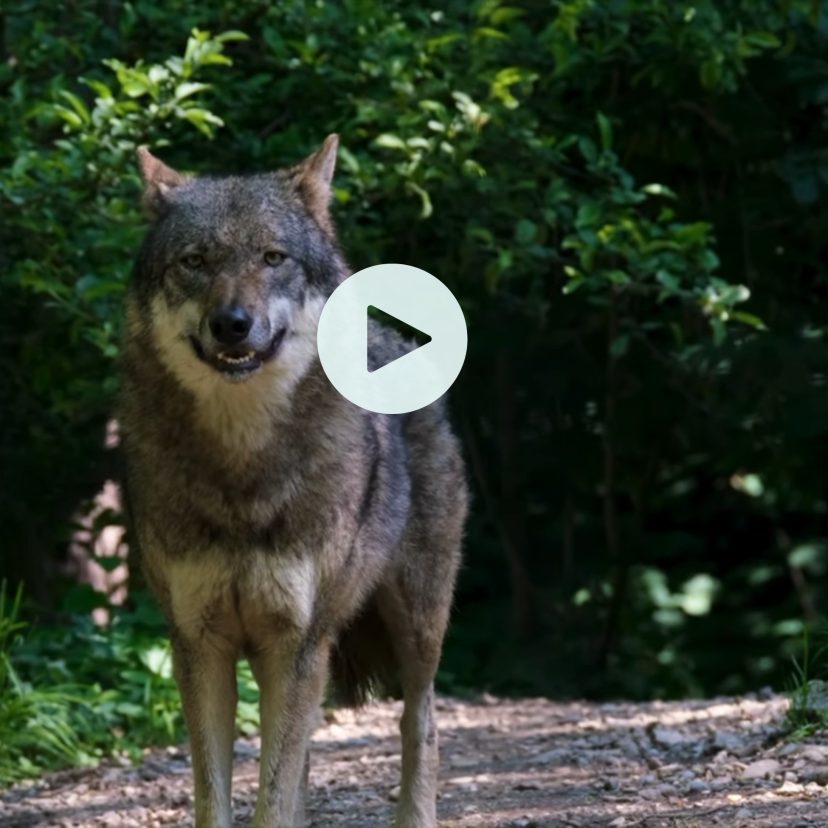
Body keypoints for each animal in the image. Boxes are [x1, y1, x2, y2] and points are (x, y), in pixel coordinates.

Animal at [119, 135, 468, 828]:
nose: (232, 322)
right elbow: (219, 795)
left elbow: (272, 798)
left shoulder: (298, 643)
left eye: (272, 257)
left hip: (416, 623)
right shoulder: (199, 644)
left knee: (421, 723)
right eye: (195, 261)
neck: (241, 471)